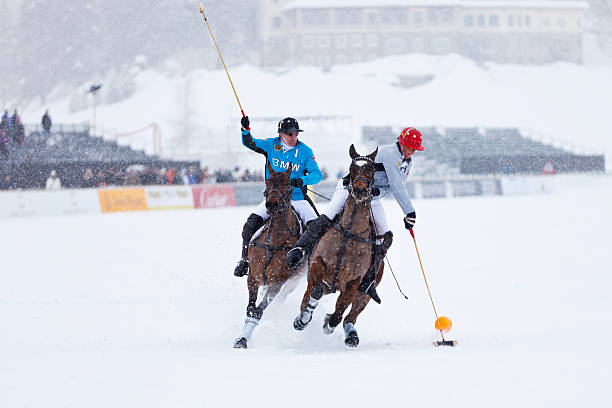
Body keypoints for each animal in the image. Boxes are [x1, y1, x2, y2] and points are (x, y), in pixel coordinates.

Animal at [233, 164, 302, 350]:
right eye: (268, 181)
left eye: (287, 183)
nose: (272, 204)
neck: (274, 241)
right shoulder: (253, 277)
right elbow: (250, 309)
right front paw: (241, 338)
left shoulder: (276, 282)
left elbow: (257, 311)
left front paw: (243, 340)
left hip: (294, 280)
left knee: (283, 295)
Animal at [292, 145, 382, 346]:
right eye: (352, 168)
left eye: (371, 170)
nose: (359, 189)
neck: (349, 232)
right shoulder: (318, 264)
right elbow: (314, 291)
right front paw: (303, 318)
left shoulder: (355, 281)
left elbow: (338, 313)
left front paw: (328, 323)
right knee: (309, 296)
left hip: (366, 292)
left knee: (350, 315)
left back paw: (351, 335)